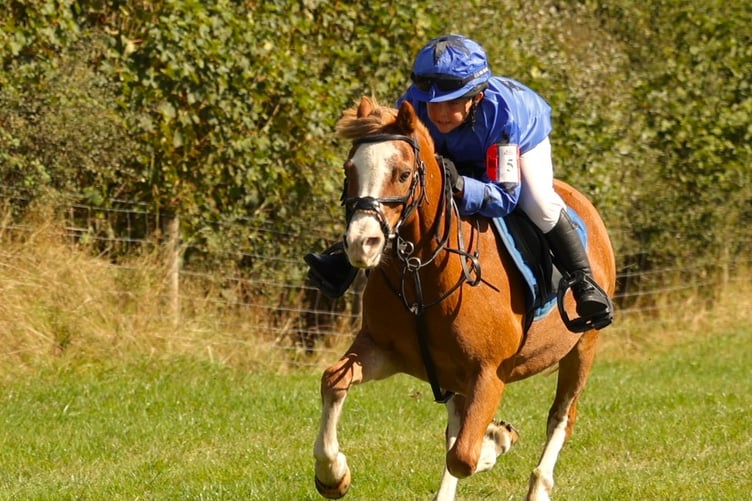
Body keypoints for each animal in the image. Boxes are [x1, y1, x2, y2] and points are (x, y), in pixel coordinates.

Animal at [312, 96, 616, 501]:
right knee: (456, 427)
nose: (362, 243)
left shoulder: (489, 375)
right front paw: (333, 475)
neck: (421, 272)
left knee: (561, 417)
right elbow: (334, 380)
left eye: (403, 174)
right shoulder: (381, 349)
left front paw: (499, 438)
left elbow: (464, 456)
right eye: (349, 170)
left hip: (583, 346)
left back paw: (537, 485)